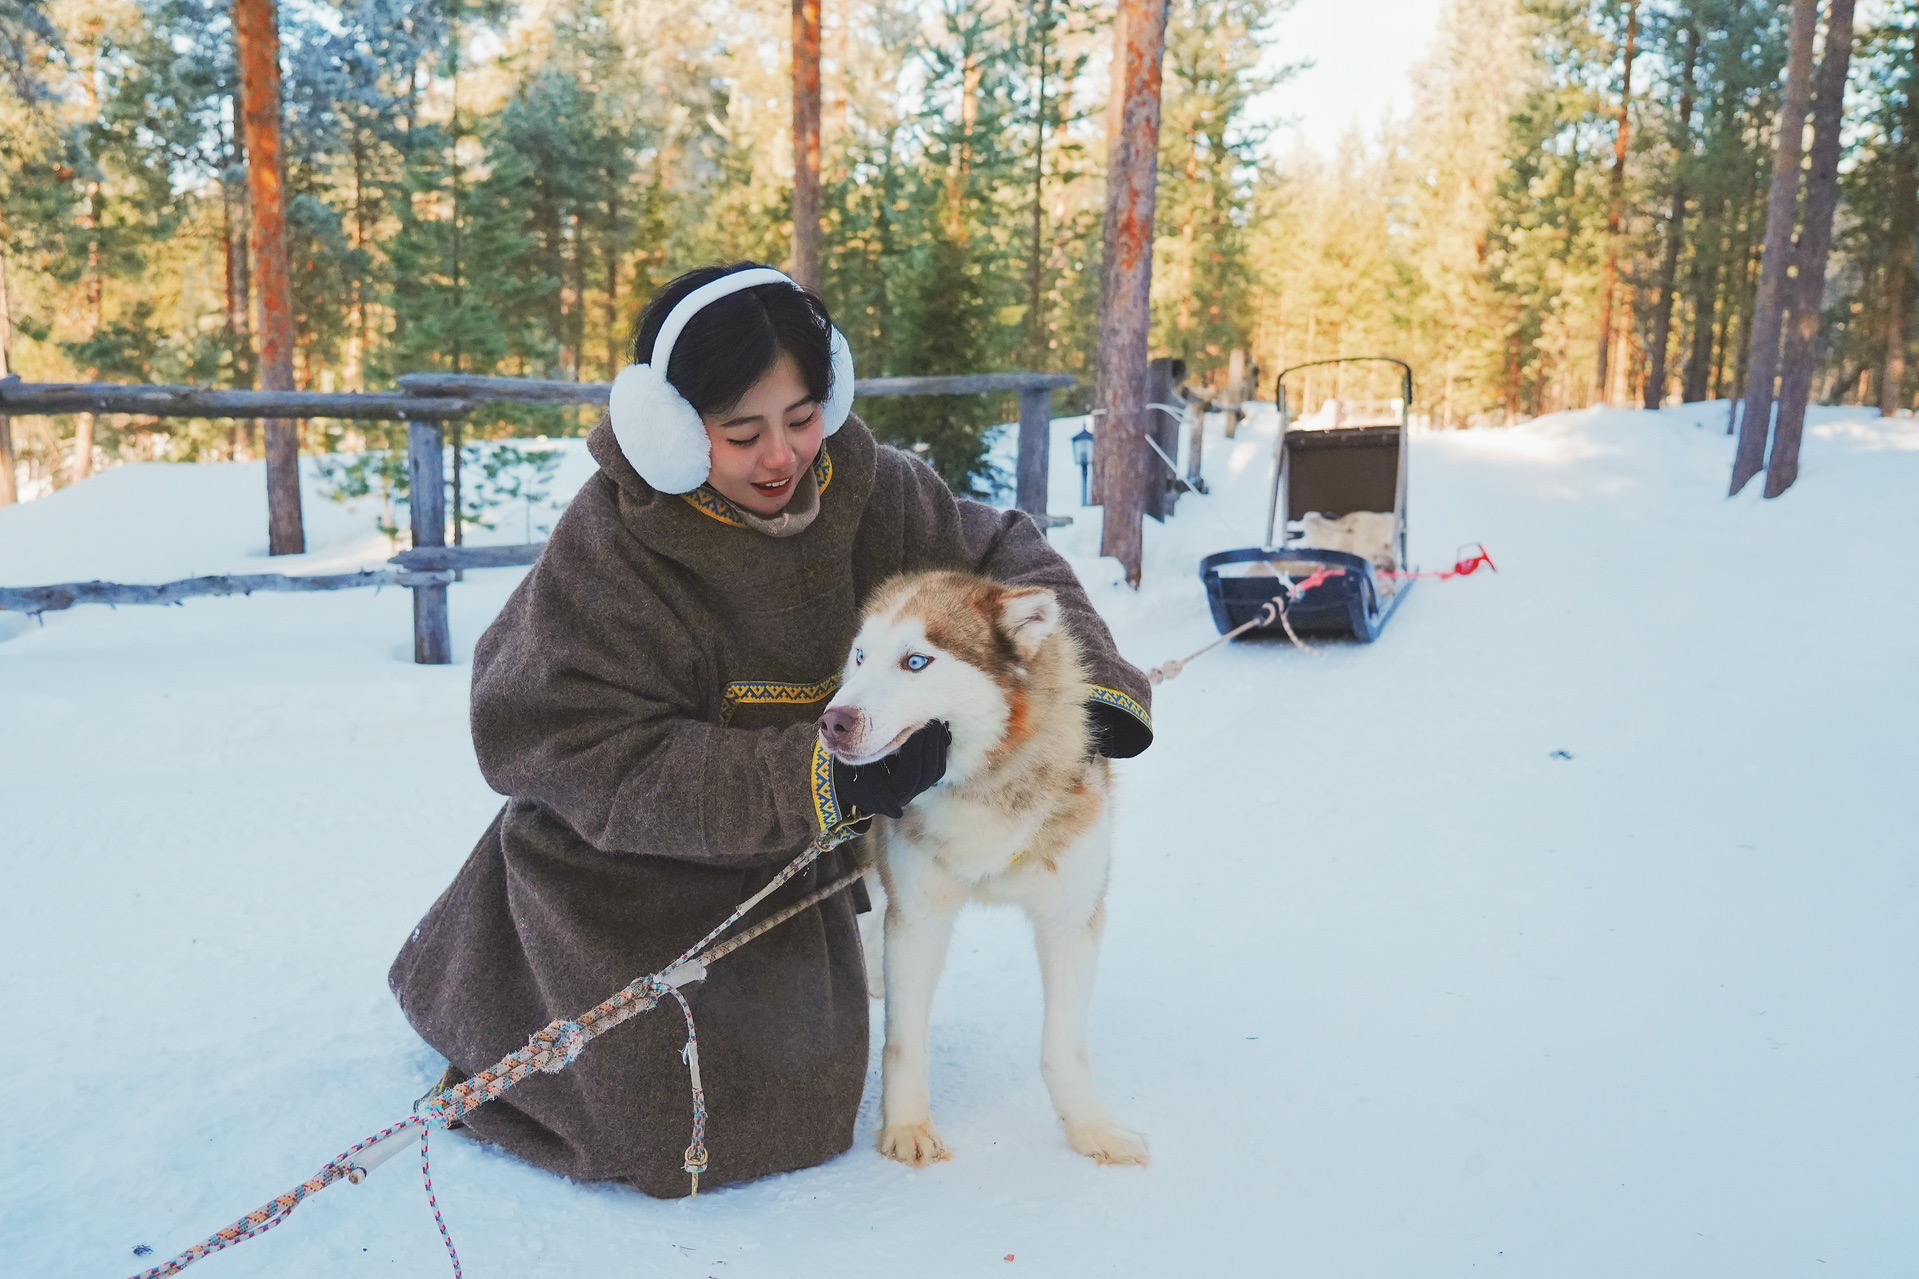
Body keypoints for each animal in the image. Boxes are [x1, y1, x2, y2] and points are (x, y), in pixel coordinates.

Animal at [817, 568, 1143, 1167]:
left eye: (915, 661)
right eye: (860, 656)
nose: (832, 722)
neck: (982, 786)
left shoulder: (1071, 922)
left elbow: (1063, 1045)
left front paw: (1091, 1128)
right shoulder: (919, 918)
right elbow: (905, 1040)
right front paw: (907, 1126)